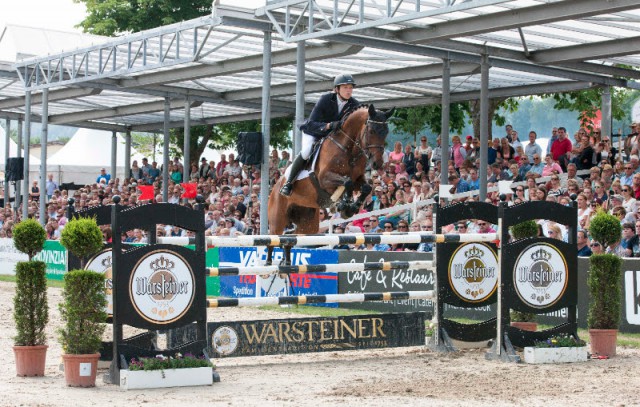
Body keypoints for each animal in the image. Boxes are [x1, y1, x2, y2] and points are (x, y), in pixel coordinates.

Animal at [266, 103, 396, 266]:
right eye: (371, 131)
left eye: (386, 132)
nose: (377, 163)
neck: (349, 149)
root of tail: (274, 188)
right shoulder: (324, 179)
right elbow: (347, 182)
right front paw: (345, 205)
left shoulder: (358, 179)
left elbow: (365, 187)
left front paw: (350, 208)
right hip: (278, 217)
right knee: (273, 238)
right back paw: (268, 263)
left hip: (308, 224)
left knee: (291, 237)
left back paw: (287, 262)